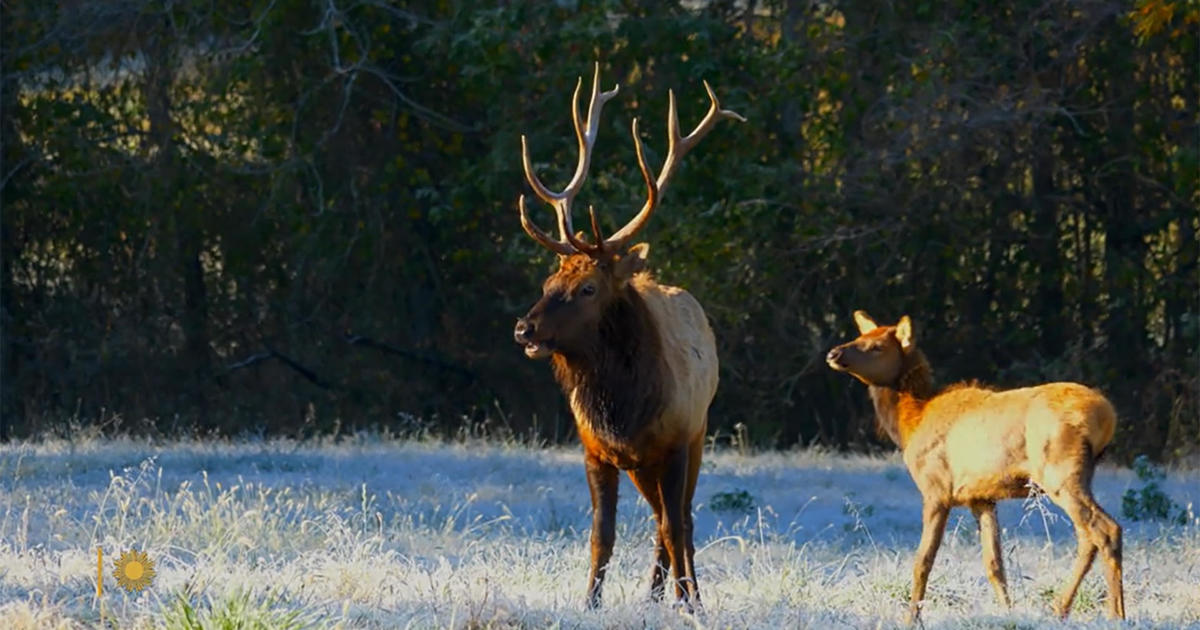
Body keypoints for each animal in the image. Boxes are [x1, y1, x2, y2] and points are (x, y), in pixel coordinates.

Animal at [513, 65, 739, 609]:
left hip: (698, 433)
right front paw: (590, 602)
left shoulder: (677, 440)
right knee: (660, 519)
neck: (624, 410)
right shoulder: (596, 450)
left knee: (678, 520)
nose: (523, 328)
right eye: (548, 282)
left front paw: (693, 603)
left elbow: (678, 526)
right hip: (643, 465)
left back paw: (679, 592)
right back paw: (655, 594)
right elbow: (603, 533)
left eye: (588, 287)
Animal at [825, 309, 1123, 619]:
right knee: (1087, 536)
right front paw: (1008, 612)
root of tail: (1107, 416)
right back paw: (1062, 608)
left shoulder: (936, 489)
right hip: (1074, 476)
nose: (834, 353)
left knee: (1106, 530)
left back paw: (1113, 614)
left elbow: (923, 562)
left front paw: (911, 619)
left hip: (1059, 472)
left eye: (877, 346)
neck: (911, 424)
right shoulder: (981, 497)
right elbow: (994, 564)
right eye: (859, 337)